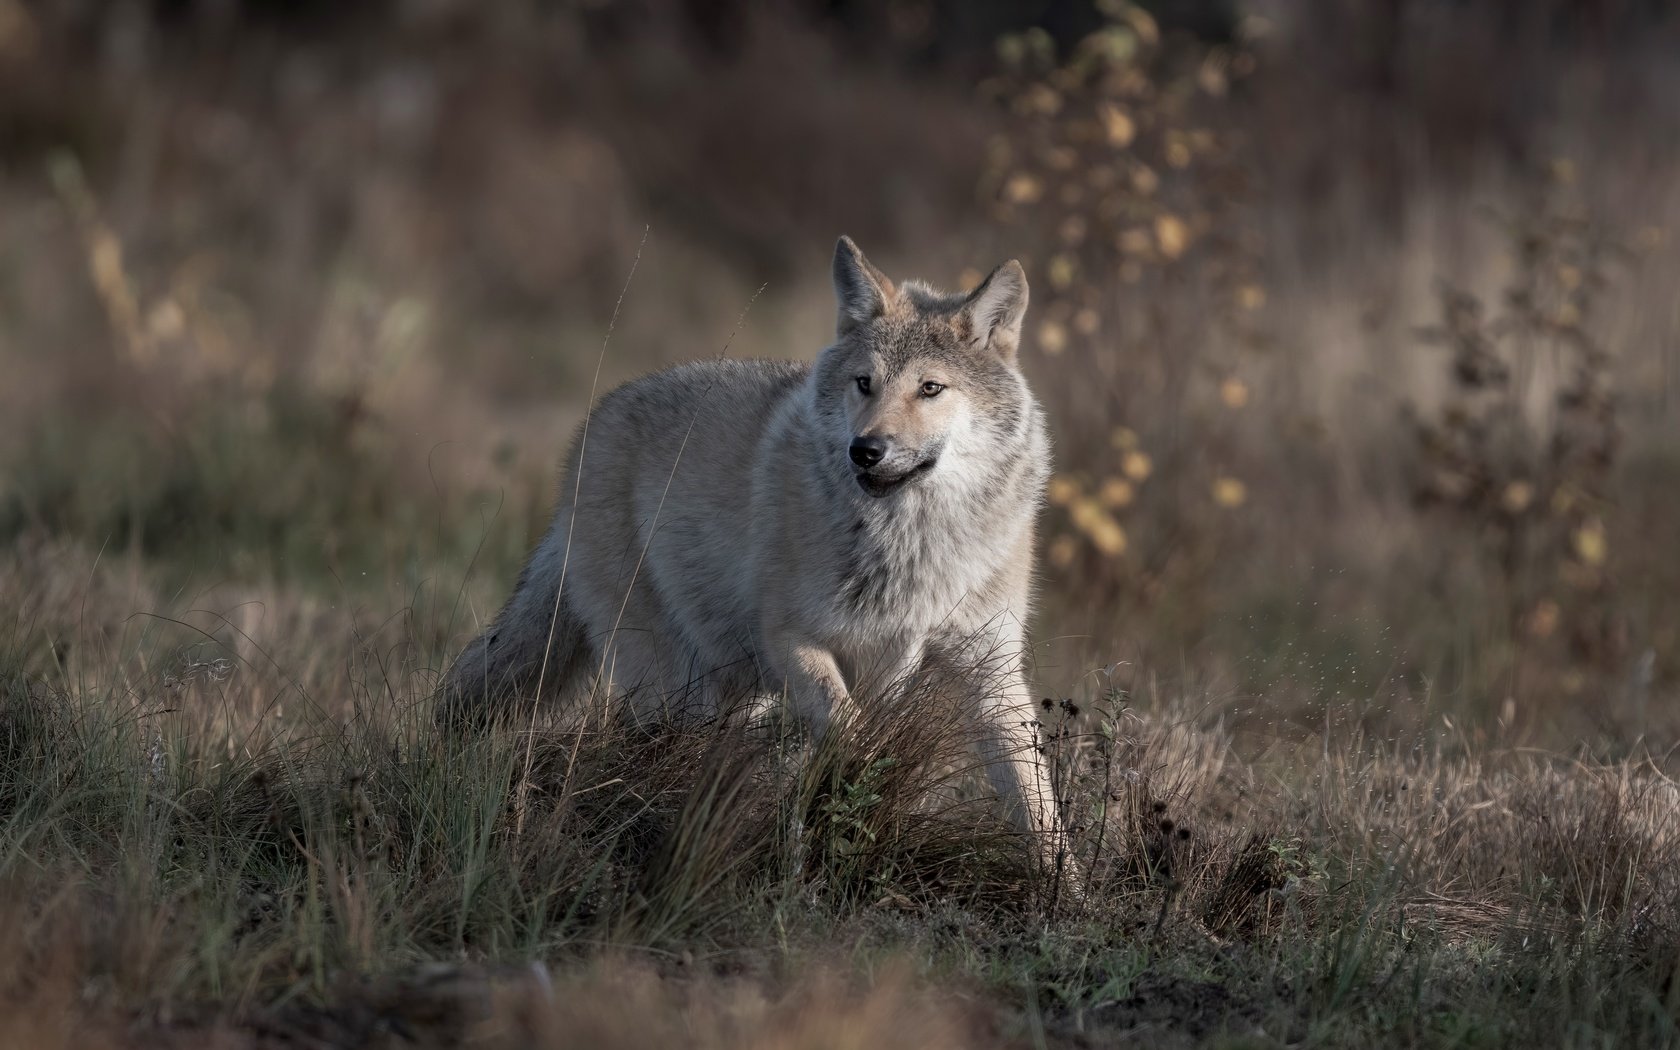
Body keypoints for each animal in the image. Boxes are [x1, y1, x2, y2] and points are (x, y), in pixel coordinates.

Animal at [446, 235, 1068, 873]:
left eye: (930, 388)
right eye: (864, 383)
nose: (865, 450)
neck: (913, 543)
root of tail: (587, 432)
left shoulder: (991, 673)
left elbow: (1039, 806)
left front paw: (1063, 888)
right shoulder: (793, 639)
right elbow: (852, 732)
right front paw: (857, 800)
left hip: (736, 694)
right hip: (677, 689)